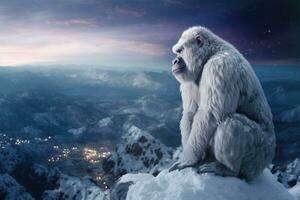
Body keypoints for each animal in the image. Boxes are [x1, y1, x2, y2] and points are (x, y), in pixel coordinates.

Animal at [169, 25, 276, 180]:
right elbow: (190, 113)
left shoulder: (219, 67)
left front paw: (188, 159)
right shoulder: (189, 81)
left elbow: (209, 115)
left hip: (259, 154)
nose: (175, 61)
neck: (209, 55)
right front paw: (195, 157)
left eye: (180, 51)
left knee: (231, 123)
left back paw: (227, 169)